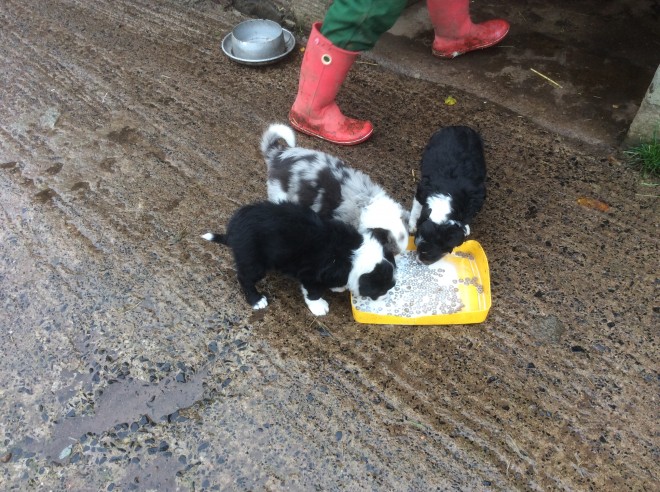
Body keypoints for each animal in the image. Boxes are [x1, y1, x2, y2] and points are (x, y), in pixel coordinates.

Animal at [204, 202, 394, 318]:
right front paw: (319, 306)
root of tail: (233, 229)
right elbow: (313, 291)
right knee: (245, 278)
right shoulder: (312, 273)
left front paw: (338, 286)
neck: (354, 254)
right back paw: (256, 300)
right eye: (381, 288)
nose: (387, 295)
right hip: (254, 261)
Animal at [410, 127, 488, 266]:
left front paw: (465, 227)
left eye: (428, 253)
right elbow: (417, 206)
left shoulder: (477, 196)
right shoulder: (422, 190)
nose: (418, 261)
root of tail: (460, 127)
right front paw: (412, 224)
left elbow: (468, 215)